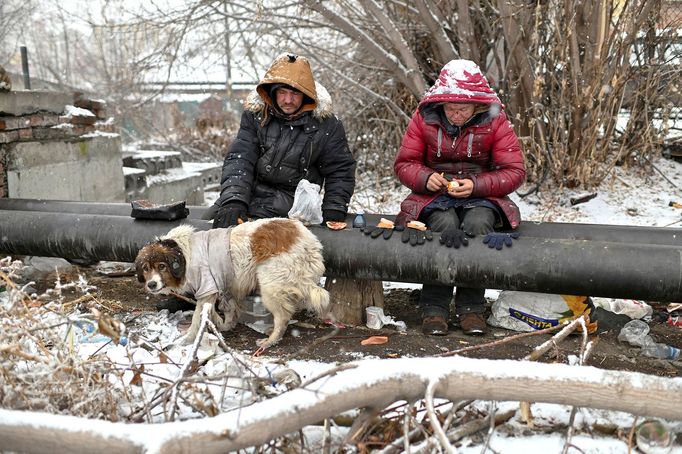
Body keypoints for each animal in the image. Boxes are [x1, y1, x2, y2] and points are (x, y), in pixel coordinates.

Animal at [133, 218, 330, 350]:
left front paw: (187, 340)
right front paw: (223, 324)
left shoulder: (206, 288)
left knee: (282, 317)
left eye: (162, 266)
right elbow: (225, 310)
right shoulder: (222, 287)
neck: (182, 252)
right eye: (146, 268)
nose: (151, 284)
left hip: (270, 287)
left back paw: (270, 341)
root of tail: (308, 240)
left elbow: (198, 318)